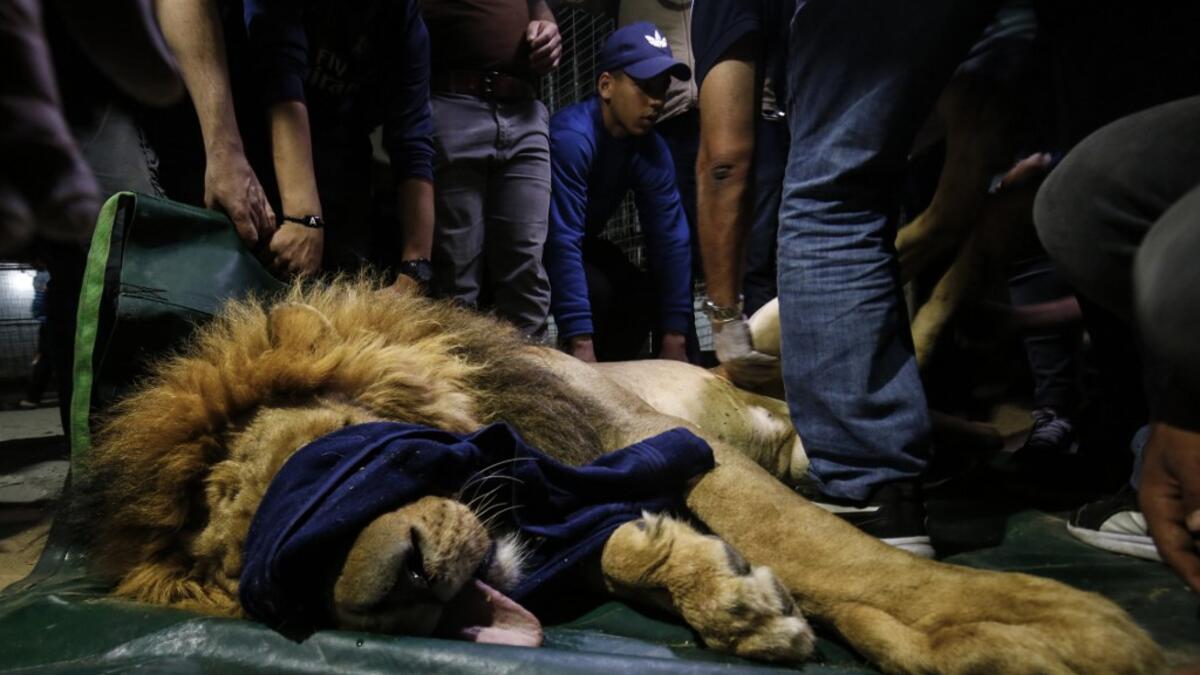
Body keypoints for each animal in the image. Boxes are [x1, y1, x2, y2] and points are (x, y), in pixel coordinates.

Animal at [73, 278, 1164, 674]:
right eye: (278, 571)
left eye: (339, 457)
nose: (400, 584)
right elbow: (660, 554)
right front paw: (734, 603)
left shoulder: (637, 430)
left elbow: (815, 541)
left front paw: (1026, 624)